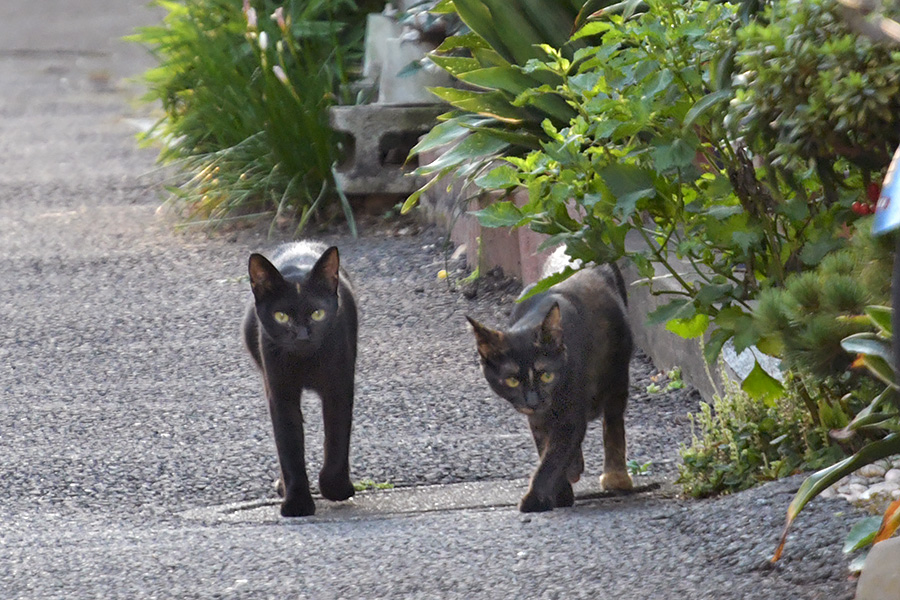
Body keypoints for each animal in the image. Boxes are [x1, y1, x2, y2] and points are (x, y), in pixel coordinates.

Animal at [246, 241, 362, 516]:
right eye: (281, 317)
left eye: (318, 314)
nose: (301, 336)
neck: (306, 361)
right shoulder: (280, 393)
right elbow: (288, 445)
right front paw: (297, 503)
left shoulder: (339, 386)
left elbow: (337, 437)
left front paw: (335, 488)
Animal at [468, 262, 636, 510]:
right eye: (512, 380)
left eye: (547, 375)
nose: (533, 401)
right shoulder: (537, 419)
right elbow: (546, 449)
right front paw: (561, 494)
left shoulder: (571, 413)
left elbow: (554, 457)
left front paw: (535, 500)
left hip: (618, 374)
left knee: (613, 421)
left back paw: (616, 476)